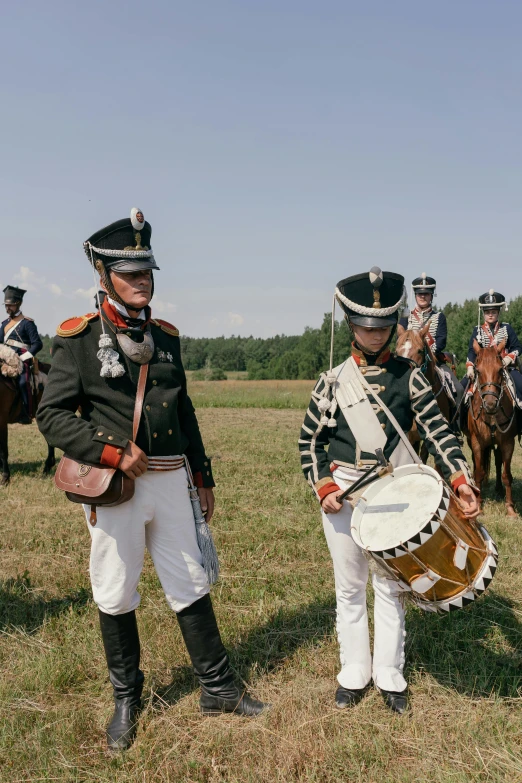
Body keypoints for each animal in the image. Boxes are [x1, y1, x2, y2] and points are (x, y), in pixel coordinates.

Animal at [466, 342, 512, 516]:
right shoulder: (476, 443)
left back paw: (499, 488)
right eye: (478, 370)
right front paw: (478, 505)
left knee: (498, 462)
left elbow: (506, 474)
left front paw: (510, 508)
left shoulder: (508, 443)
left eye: (500, 369)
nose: (491, 404)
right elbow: (479, 472)